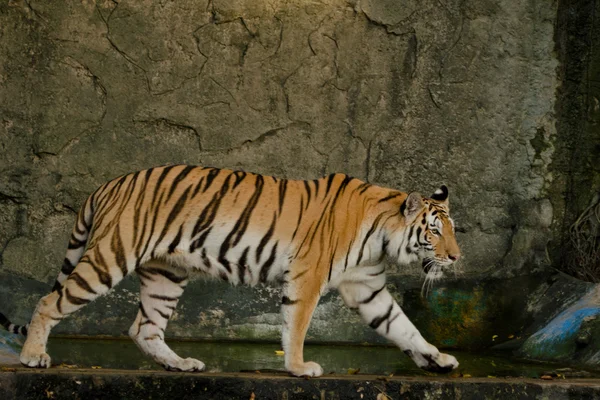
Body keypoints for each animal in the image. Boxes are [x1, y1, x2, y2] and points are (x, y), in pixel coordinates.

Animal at [0, 164, 460, 376]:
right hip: (110, 258)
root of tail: (108, 183)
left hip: (166, 275)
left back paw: (181, 364)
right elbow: (296, 326)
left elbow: (402, 326)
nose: (456, 257)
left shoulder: (367, 287)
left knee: (144, 327)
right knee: (49, 301)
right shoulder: (307, 277)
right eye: (435, 232)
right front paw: (299, 368)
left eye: (452, 229)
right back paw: (33, 356)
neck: (381, 235)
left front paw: (437, 358)